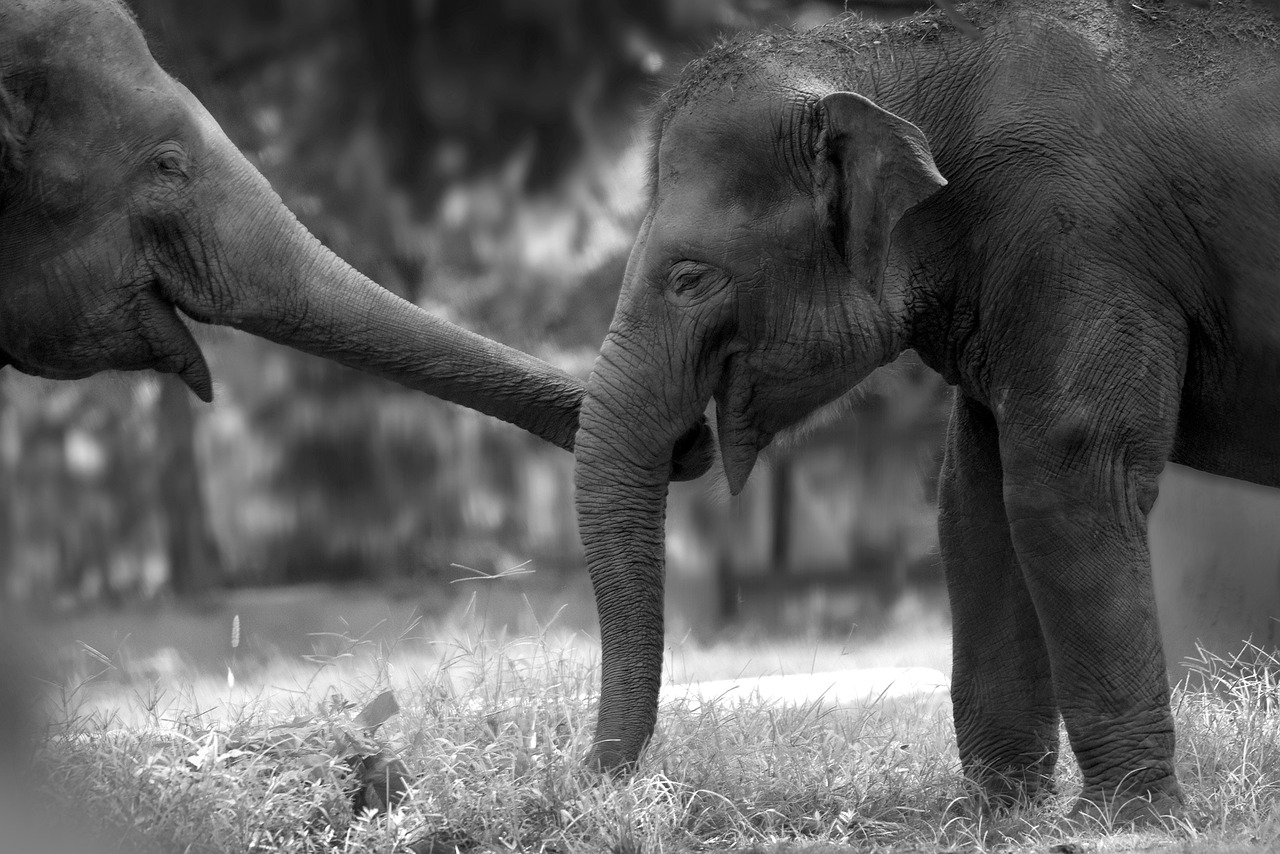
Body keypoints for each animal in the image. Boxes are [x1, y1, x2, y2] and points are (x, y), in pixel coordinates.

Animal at [576, 0, 1280, 824]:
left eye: (688, 278)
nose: (593, 784)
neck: (901, 57)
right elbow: (973, 504)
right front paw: (997, 816)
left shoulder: (1080, 241)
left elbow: (1066, 478)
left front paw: (1127, 821)